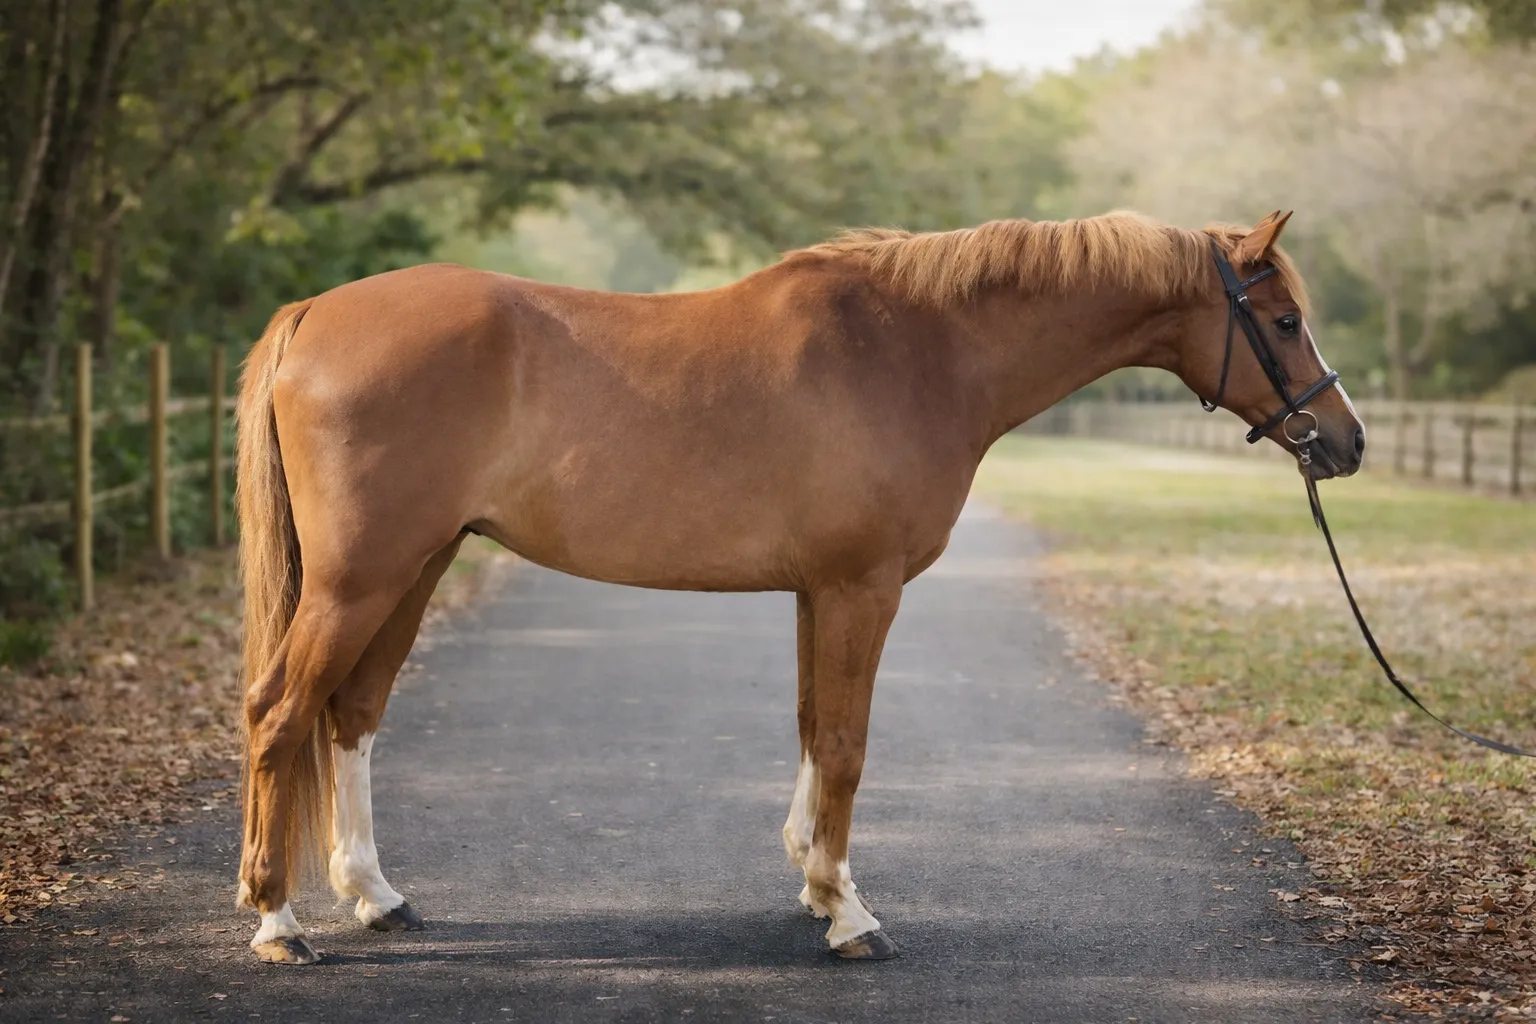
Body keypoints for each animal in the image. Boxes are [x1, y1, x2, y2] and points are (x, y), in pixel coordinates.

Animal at [233, 208, 1364, 964]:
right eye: (1283, 319)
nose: (1346, 442)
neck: (915, 351)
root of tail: (312, 314)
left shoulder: (820, 591)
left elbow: (818, 727)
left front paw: (821, 884)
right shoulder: (862, 587)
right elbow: (850, 743)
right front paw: (849, 913)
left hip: (415, 567)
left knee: (350, 712)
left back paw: (376, 896)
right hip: (361, 577)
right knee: (280, 710)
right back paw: (278, 921)